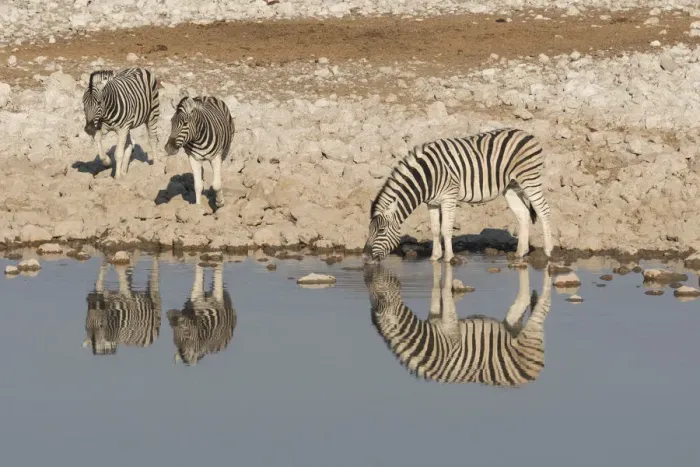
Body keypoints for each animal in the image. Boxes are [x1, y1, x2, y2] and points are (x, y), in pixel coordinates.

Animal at [363, 128, 554, 264]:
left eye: (381, 230)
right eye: (369, 229)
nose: (365, 258)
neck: (427, 177)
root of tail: (526, 133)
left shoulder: (449, 196)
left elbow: (446, 228)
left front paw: (448, 258)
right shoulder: (431, 202)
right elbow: (435, 229)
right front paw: (434, 257)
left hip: (529, 179)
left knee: (544, 211)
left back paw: (548, 251)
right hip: (511, 186)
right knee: (523, 214)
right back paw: (520, 252)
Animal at [365, 262, 552, 387]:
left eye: (380, 296)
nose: (368, 277)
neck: (431, 342)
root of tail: (531, 377)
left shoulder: (451, 329)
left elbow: (446, 295)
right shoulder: (436, 319)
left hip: (532, 332)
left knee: (541, 306)